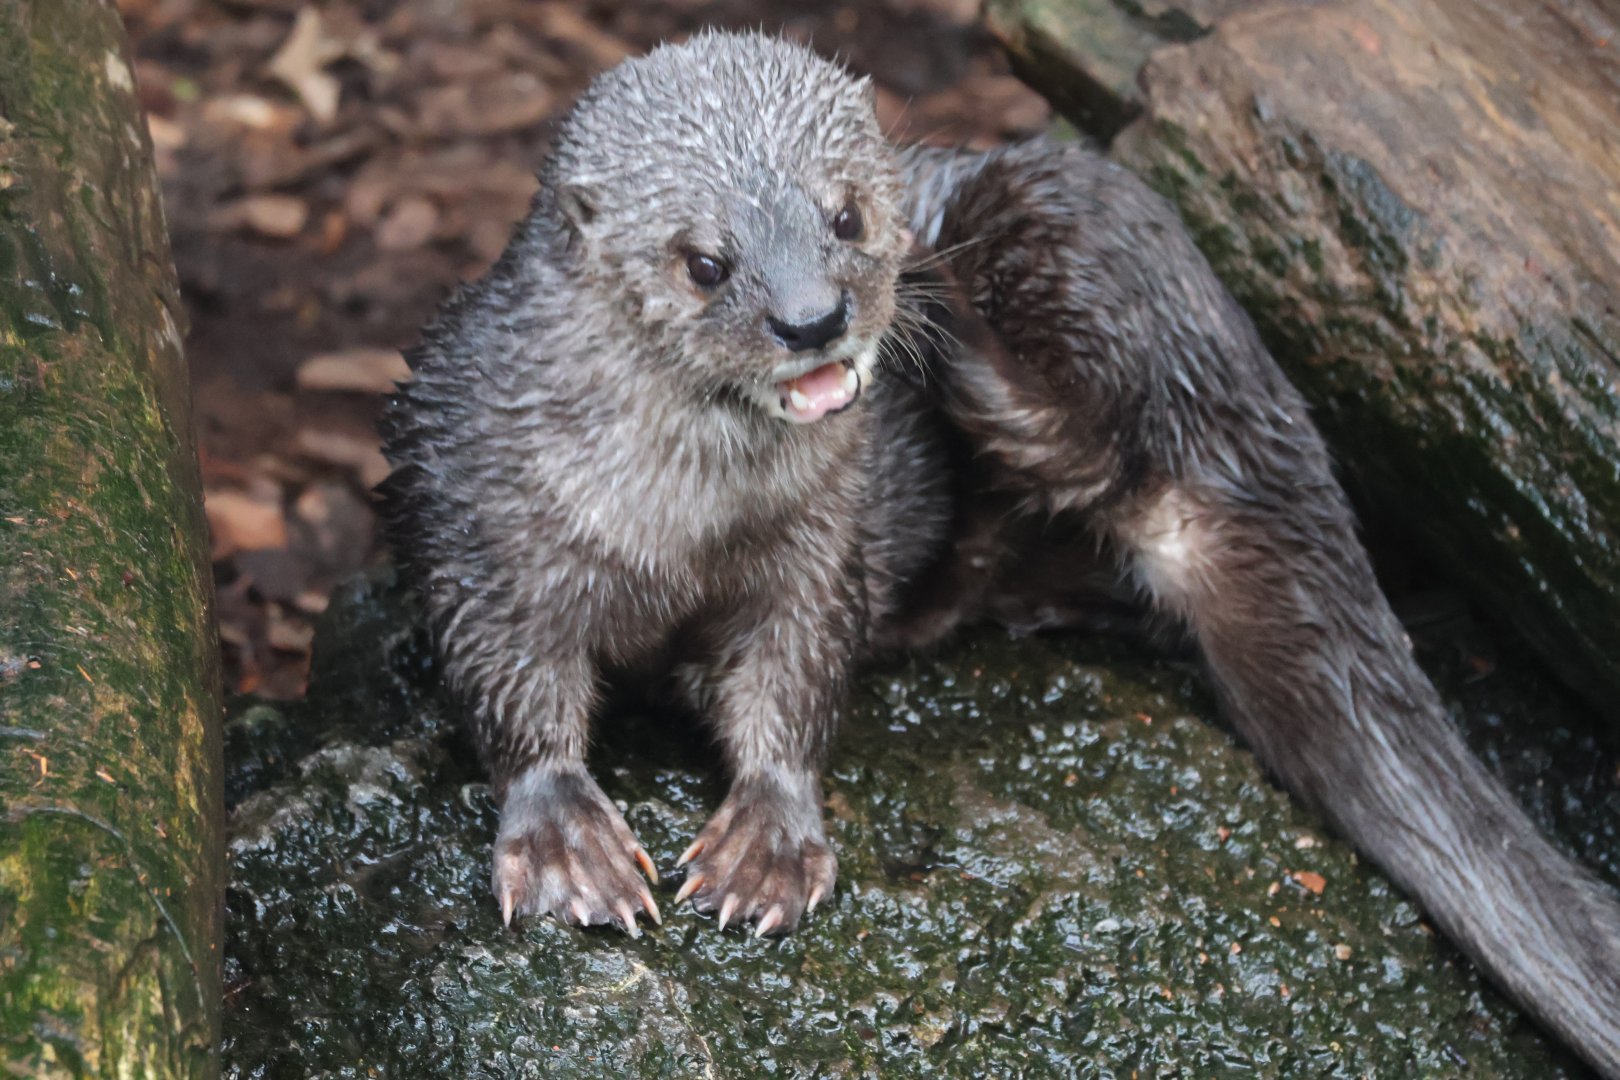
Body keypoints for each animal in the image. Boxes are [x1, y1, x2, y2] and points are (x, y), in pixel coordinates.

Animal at [378, 32, 1620, 1077]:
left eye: (844, 218)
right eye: (704, 262)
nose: (816, 320)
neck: (674, 526)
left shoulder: (819, 544)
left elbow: (796, 674)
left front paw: (768, 842)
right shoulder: (470, 513)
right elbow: (502, 679)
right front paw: (565, 839)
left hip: (1071, 212)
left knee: (1098, 442)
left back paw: (956, 319)